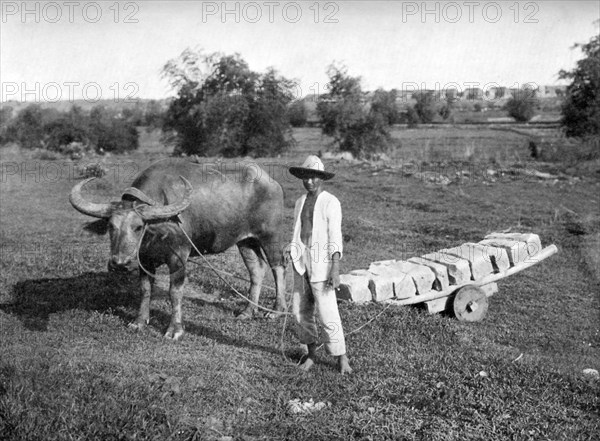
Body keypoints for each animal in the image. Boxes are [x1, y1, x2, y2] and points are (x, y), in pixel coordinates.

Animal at [69, 158, 288, 340]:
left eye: (138, 227)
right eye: (110, 226)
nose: (120, 264)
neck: (157, 228)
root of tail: (272, 182)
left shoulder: (179, 257)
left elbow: (174, 292)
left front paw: (175, 329)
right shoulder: (144, 259)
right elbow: (145, 289)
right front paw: (139, 322)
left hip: (271, 236)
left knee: (278, 268)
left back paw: (276, 311)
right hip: (246, 241)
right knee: (256, 270)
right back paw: (248, 311)